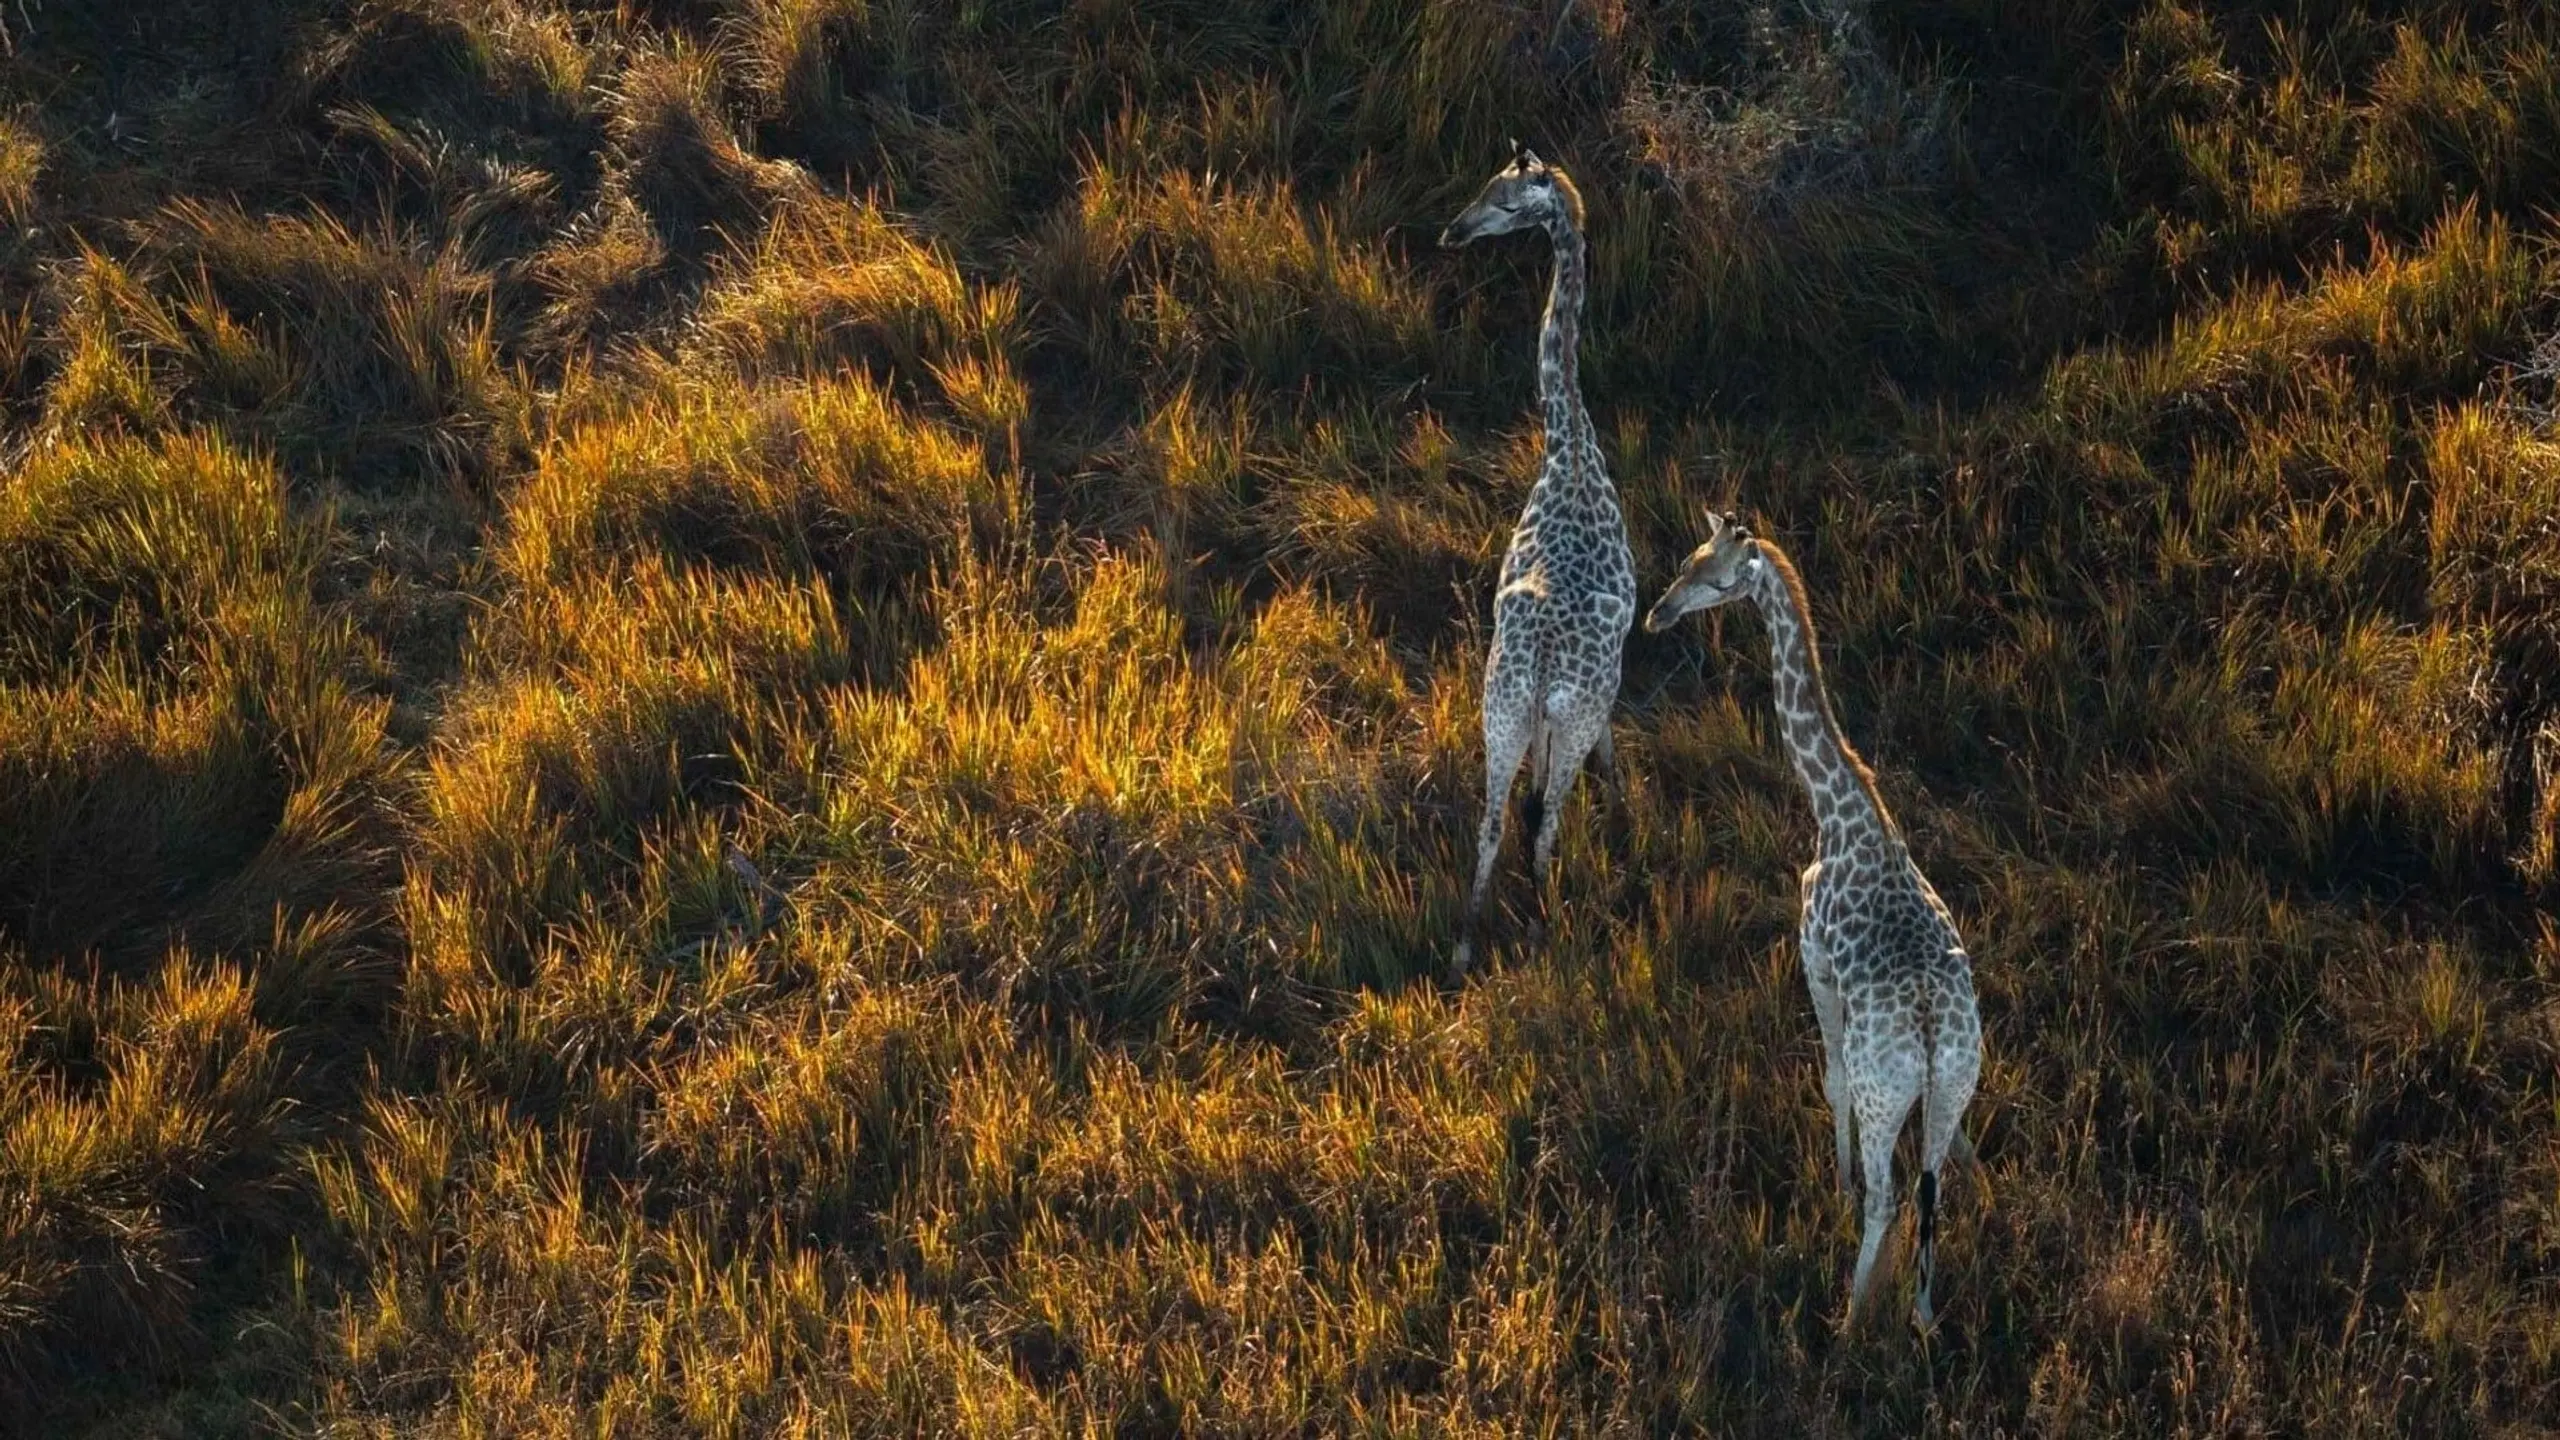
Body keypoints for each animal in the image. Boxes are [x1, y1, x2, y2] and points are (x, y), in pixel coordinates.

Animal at [1648, 509, 1986, 1332]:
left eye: (1718, 579)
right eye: (1689, 559)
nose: (1657, 615)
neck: (1842, 814)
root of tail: (1930, 1040)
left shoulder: (1812, 956)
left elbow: (1827, 1077)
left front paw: (1833, 1180)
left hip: (1884, 1094)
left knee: (1889, 1197)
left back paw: (1851, 1317)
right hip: (1955, 1081)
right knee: (1931, 1190)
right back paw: (1923, 1313)